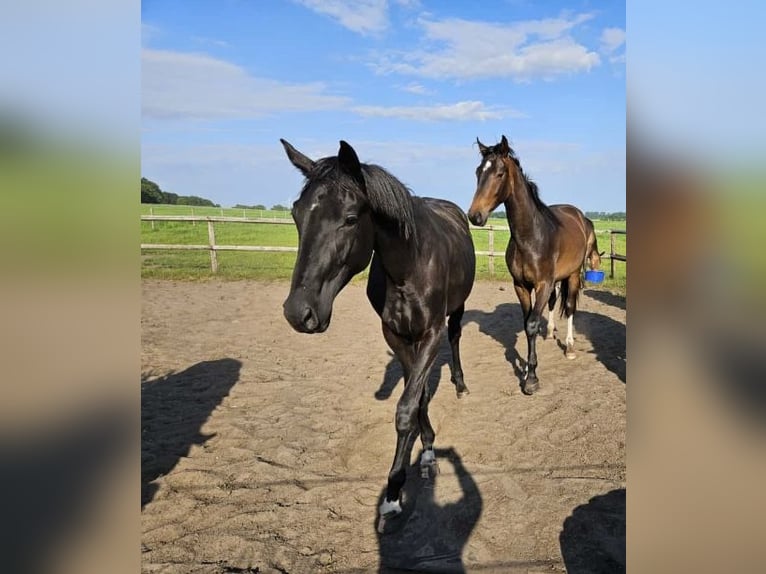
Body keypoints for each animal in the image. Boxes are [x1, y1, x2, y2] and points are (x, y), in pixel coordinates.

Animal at [280, 138, 476, 520]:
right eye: (296, 214)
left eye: (350, 219)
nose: (298, 312)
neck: (409, 266)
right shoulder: (395, 335)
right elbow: (418, 397)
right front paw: (426, 452)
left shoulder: (430, 334)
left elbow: (406, 408)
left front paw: (394, 492)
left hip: (456, 309)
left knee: (457, 337)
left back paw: (460, 384)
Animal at [468, 136, 600, 396]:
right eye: (478, 172)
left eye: (499, 173)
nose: (474, 216)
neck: (531, 237)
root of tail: (580, 216)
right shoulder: (520, 286)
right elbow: (528, 320)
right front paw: (529, 370)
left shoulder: (542, 284)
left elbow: (530, 325)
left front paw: (531, 378)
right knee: (553, 303)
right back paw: (549, 332)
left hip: (572, 275)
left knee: (569, 307)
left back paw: (569, 347)